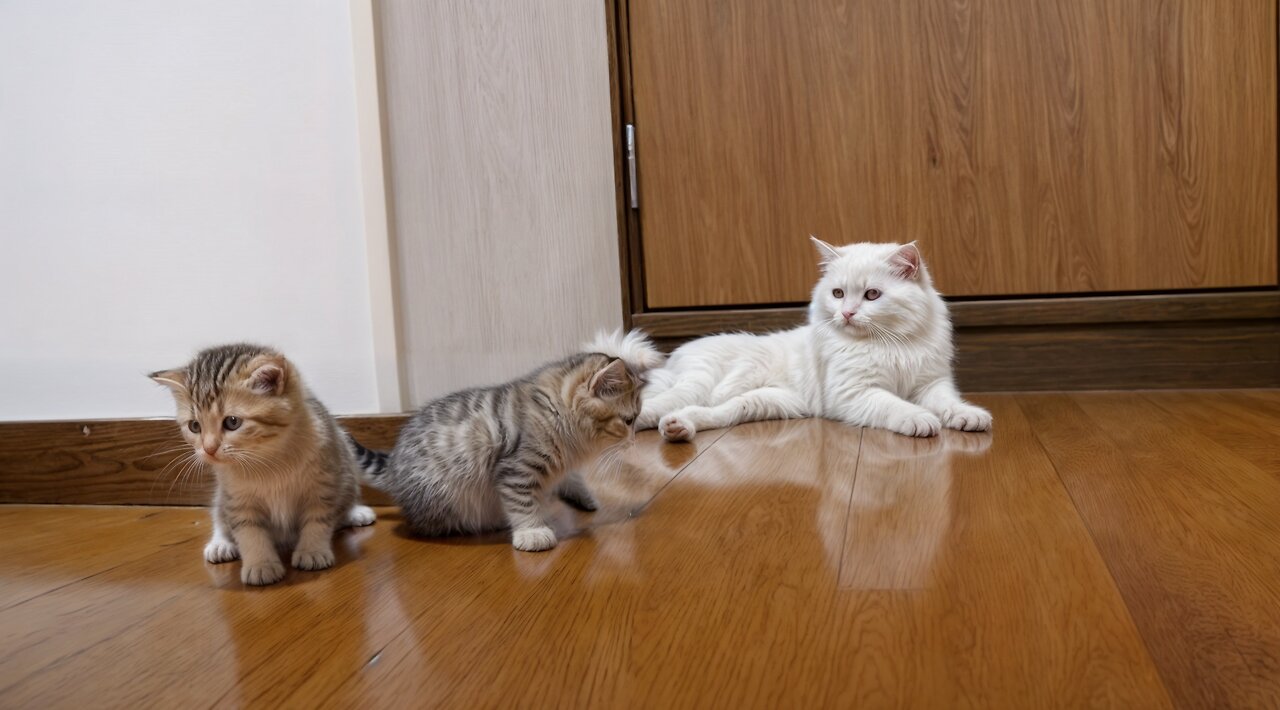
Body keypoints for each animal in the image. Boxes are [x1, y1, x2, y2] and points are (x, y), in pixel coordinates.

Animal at [150, 342, 378, 583]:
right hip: (223, 495)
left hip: (344, 461)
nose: (209, 449)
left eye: (232, 422)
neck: (267, 459)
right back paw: (220, 544)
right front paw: (261, 564)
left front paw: (312, 550)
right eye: (194, 426)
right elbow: (248, 531)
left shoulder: (323, 483)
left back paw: (355, 513)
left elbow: (318, 519)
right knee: (220, 514)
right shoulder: (237, 497)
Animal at [373, 330, 660, 552]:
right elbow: (522, 502)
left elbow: (569, 479)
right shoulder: (517, 469)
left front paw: (579, 495)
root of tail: (392, 466)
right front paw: (532, 531)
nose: (633, 441)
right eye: (628, 421)